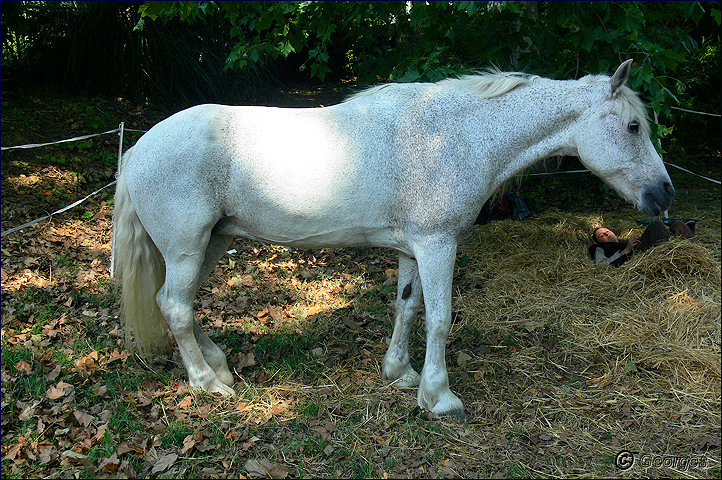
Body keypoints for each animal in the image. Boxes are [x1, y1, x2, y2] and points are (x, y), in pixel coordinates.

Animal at [111, 60, 668, 418]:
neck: (461, 135)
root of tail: (139, 148)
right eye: (633, 126)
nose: (665, 193)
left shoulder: (413, 248)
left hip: (209, 244)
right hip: (187, 247)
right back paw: (206, 383)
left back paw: (220, 366)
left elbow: (408, 308)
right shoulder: (439, 244)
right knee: (176, 306)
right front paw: (440, 398)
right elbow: (441, 318)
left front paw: (401, 374)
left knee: (173, 302)